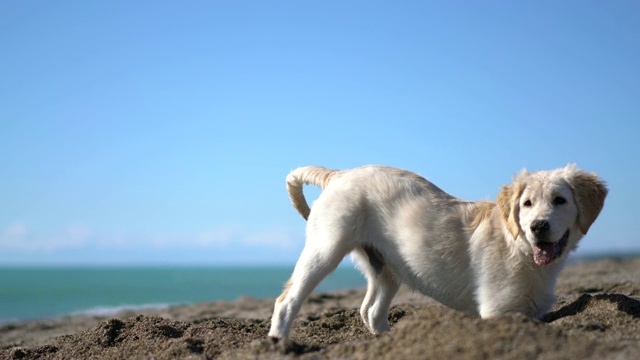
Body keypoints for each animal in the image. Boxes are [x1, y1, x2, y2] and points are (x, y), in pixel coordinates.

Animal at [268, 164, 608, 338]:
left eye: (560, 201)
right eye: (526, 204)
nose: (538, 226)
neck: (520, 248)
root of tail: (339, 173)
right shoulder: (498, 311)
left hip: (387, 267)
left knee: (372, 311)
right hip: (325, 249)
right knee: (286, 301)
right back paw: (279, 343)